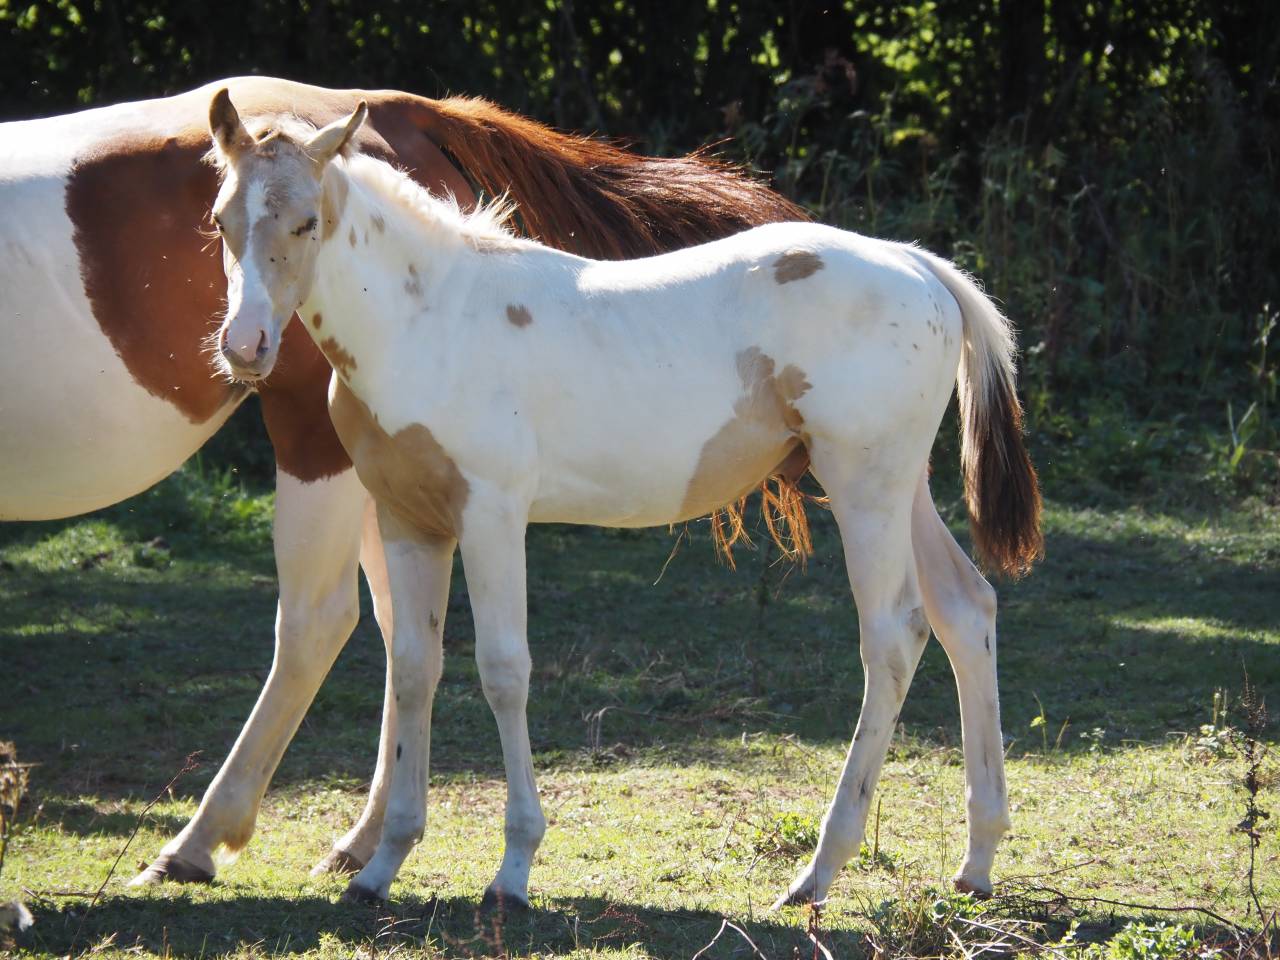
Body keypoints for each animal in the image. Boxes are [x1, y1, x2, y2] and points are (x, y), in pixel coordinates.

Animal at [205, 93, 1042, 908]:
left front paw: (513, 871)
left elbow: (504, 670)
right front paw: (382, 866)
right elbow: (414, 668)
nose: (244, 347)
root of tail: (918, 264)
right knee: (966, 608)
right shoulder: (411, 520)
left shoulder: (492, 515)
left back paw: (818, 873)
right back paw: (976, 861)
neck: (427, 320)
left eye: (306, 222)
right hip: (900, 489)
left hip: (863, 485)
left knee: (892, 636)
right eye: (220, 219)